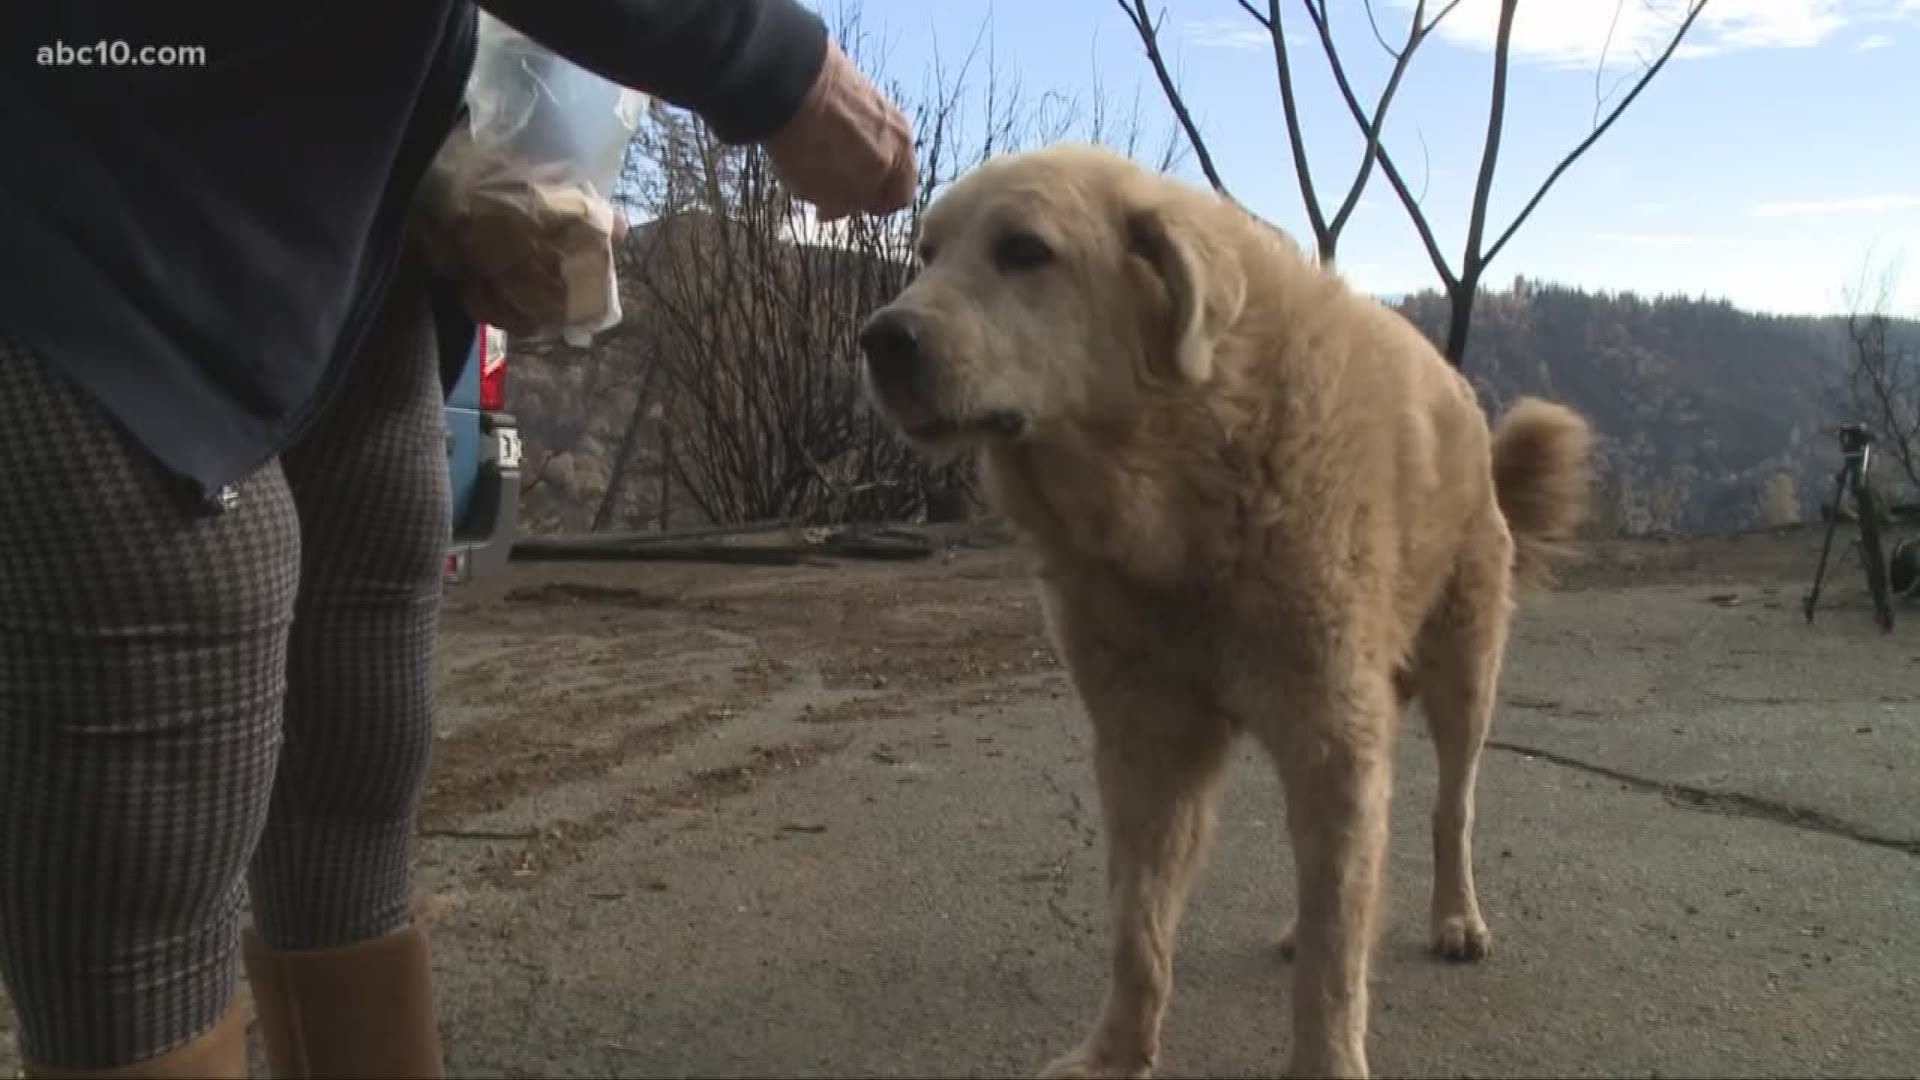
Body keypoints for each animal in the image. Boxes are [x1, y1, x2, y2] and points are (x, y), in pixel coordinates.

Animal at [864, 145, 1597, 1076]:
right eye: (925, 254)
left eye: (1024, 251)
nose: (880, 339)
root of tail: (1465, 400)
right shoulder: (1147, 743)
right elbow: (1139, 929)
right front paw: (1115, 1054)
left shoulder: (1330, 737)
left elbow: (1332, 964)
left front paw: (1327, 1064)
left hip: (1463, 675)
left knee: (1448, 810)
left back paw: (1456, 918)